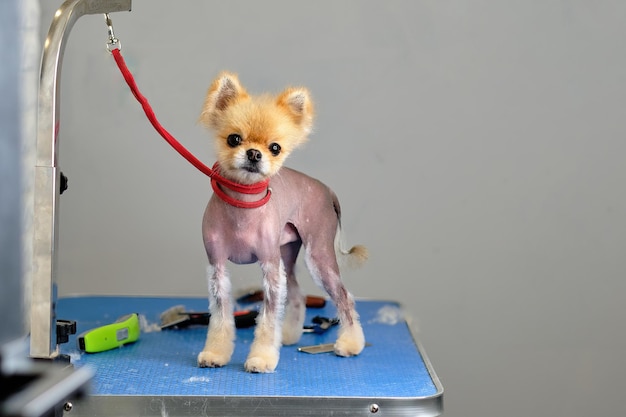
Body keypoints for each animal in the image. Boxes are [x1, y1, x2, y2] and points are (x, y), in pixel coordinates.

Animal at [193, 72, 364, 374]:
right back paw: (289, 336)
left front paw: (261, 357)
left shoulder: (270, 268)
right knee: (296, 294)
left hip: (318, 256)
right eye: (234, 139)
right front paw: (215, 352)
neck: (243, 205)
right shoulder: (218, 268)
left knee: (344, 296)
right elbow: (221, 316)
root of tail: (327, 190)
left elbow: (268, 317)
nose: (253, 154)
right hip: (288, 253)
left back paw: (350, 344)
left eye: (275, 148)